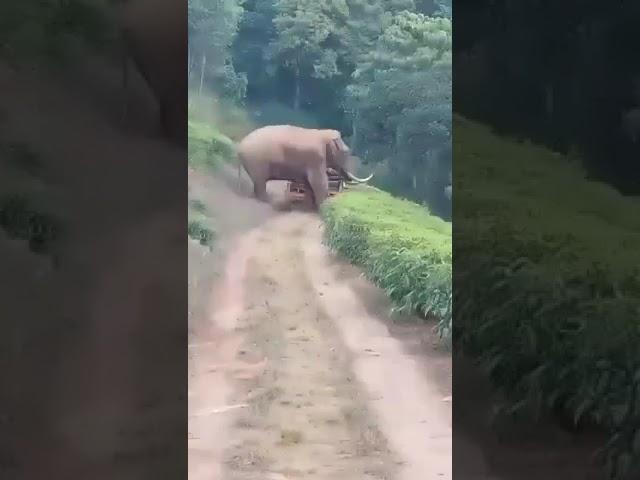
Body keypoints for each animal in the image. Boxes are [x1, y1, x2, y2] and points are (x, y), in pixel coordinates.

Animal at [238, 124, 372, 207]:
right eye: (346, 153)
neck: (323, 133)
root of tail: (240, 147)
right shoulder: (316, 157)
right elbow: (318, 181)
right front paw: (323, 205)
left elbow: (309, 183)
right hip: (256, 161)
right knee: (260, 183)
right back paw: (268, 201)